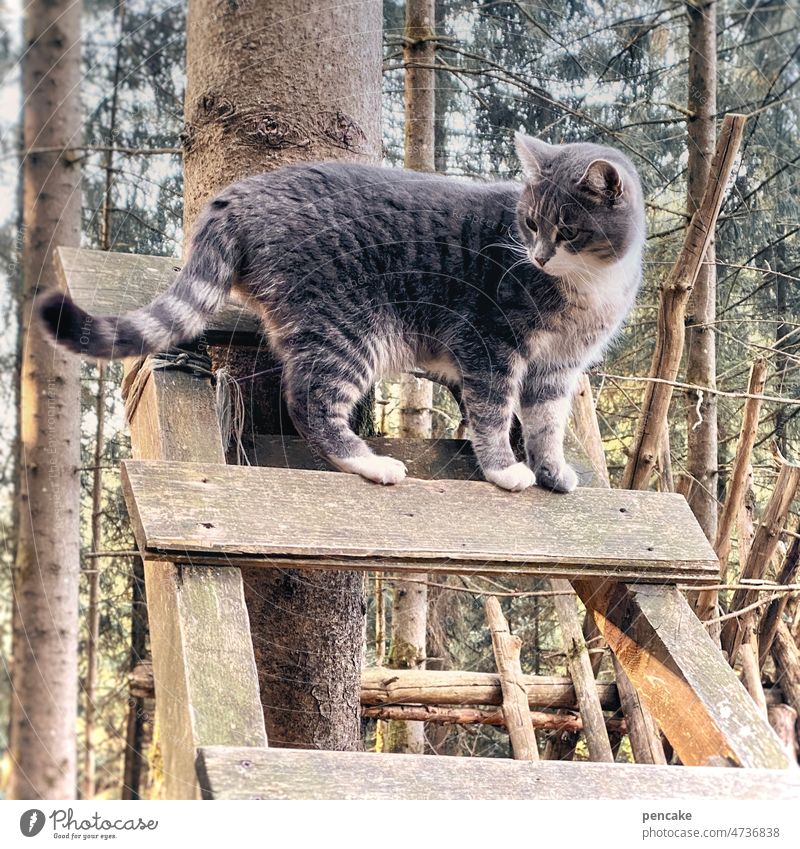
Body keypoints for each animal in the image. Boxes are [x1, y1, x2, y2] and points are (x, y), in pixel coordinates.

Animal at [42, 136, 644, 494]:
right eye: (529, 223)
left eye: (566, 229)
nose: (537, 256)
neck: (588, 285)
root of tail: (240, 194)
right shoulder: (489, 344)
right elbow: (494, 412)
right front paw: (504, 470)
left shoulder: (557, 367)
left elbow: (546, 422)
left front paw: (552, 470)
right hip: (348, 328)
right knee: (308, 402)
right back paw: (370, 462)